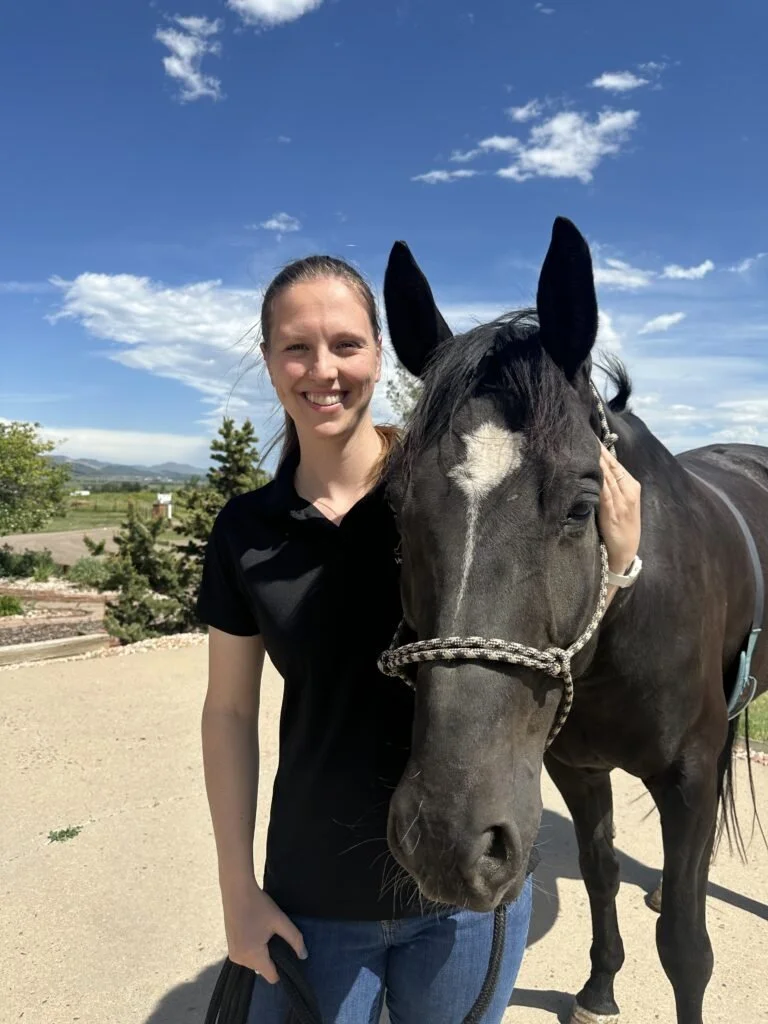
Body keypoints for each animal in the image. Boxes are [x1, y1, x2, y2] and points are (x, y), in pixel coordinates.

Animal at [376, 216, 767, 1024]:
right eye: (395, 508)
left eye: (584, 504)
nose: (444, 838)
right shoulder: (573, 767)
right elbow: (598, 871)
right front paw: (599, 987)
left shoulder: (685, 774)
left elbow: (687, 949)